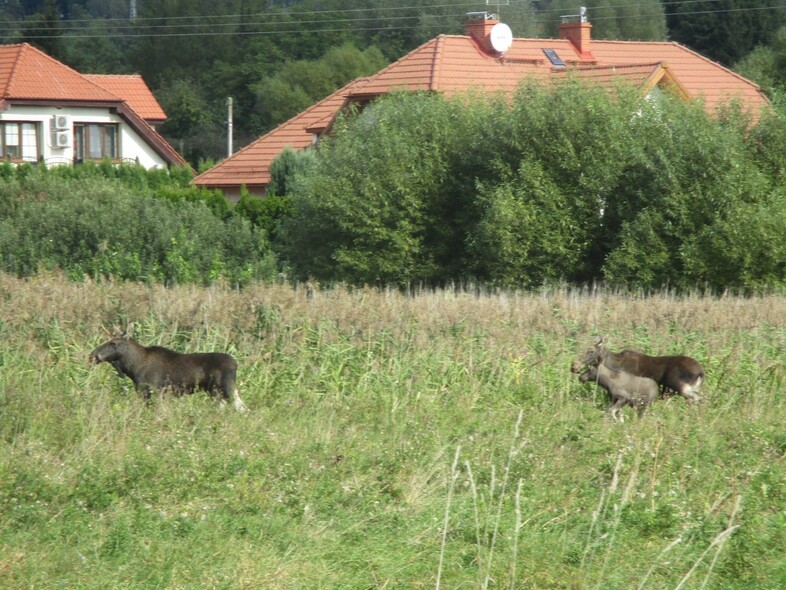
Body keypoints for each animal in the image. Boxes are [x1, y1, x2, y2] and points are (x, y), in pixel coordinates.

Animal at [89, 328, 248, 412]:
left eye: (114, 343)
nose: (93, 356)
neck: (132, 368)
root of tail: (236, 363)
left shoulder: (154, 391)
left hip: (226, 388)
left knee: (242, 408)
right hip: (215, 392)